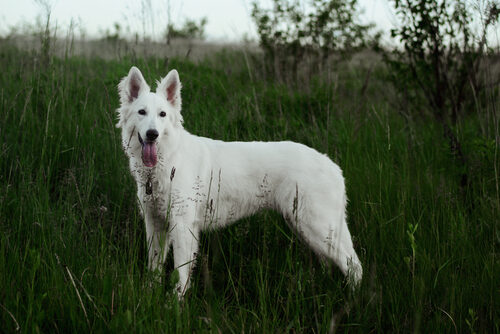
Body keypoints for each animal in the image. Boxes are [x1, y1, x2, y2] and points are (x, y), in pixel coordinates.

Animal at [115, 66, 362, 296]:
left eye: (162, 114)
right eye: (142, 112)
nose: (152, 134)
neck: (169, 158)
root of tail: (333, 166)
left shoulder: (183, 226)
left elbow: (181, 273)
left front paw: (174, 305)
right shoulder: (155, 223)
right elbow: (154, 269)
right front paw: (149, 296)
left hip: (318, 227)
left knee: (354, 265)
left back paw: (354, 301)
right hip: (305, 227)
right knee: (332, 263)